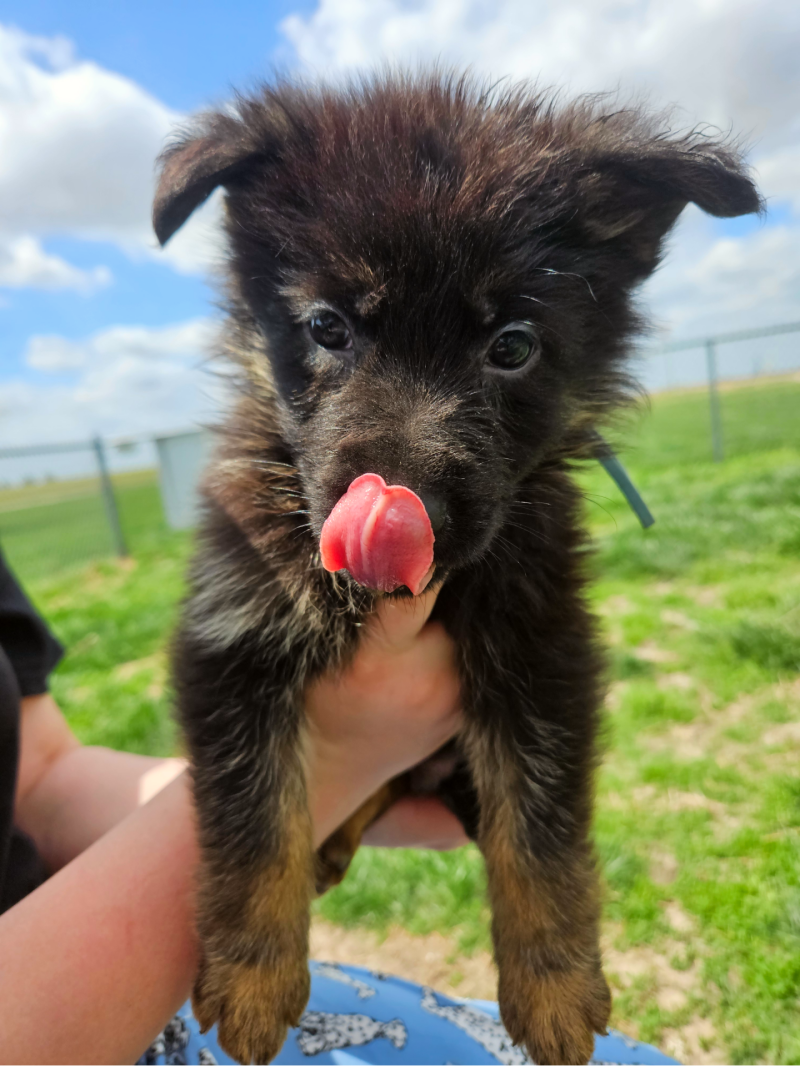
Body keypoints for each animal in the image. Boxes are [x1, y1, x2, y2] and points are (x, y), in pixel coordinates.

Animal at [153, 73, 760, 1066]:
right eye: (327, 328)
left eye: (511, 345)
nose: (405, 513)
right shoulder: (234, 632)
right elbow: (253, 812)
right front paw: (251, 977)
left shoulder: (544, 652)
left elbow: (540, 832)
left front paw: (554, 988)